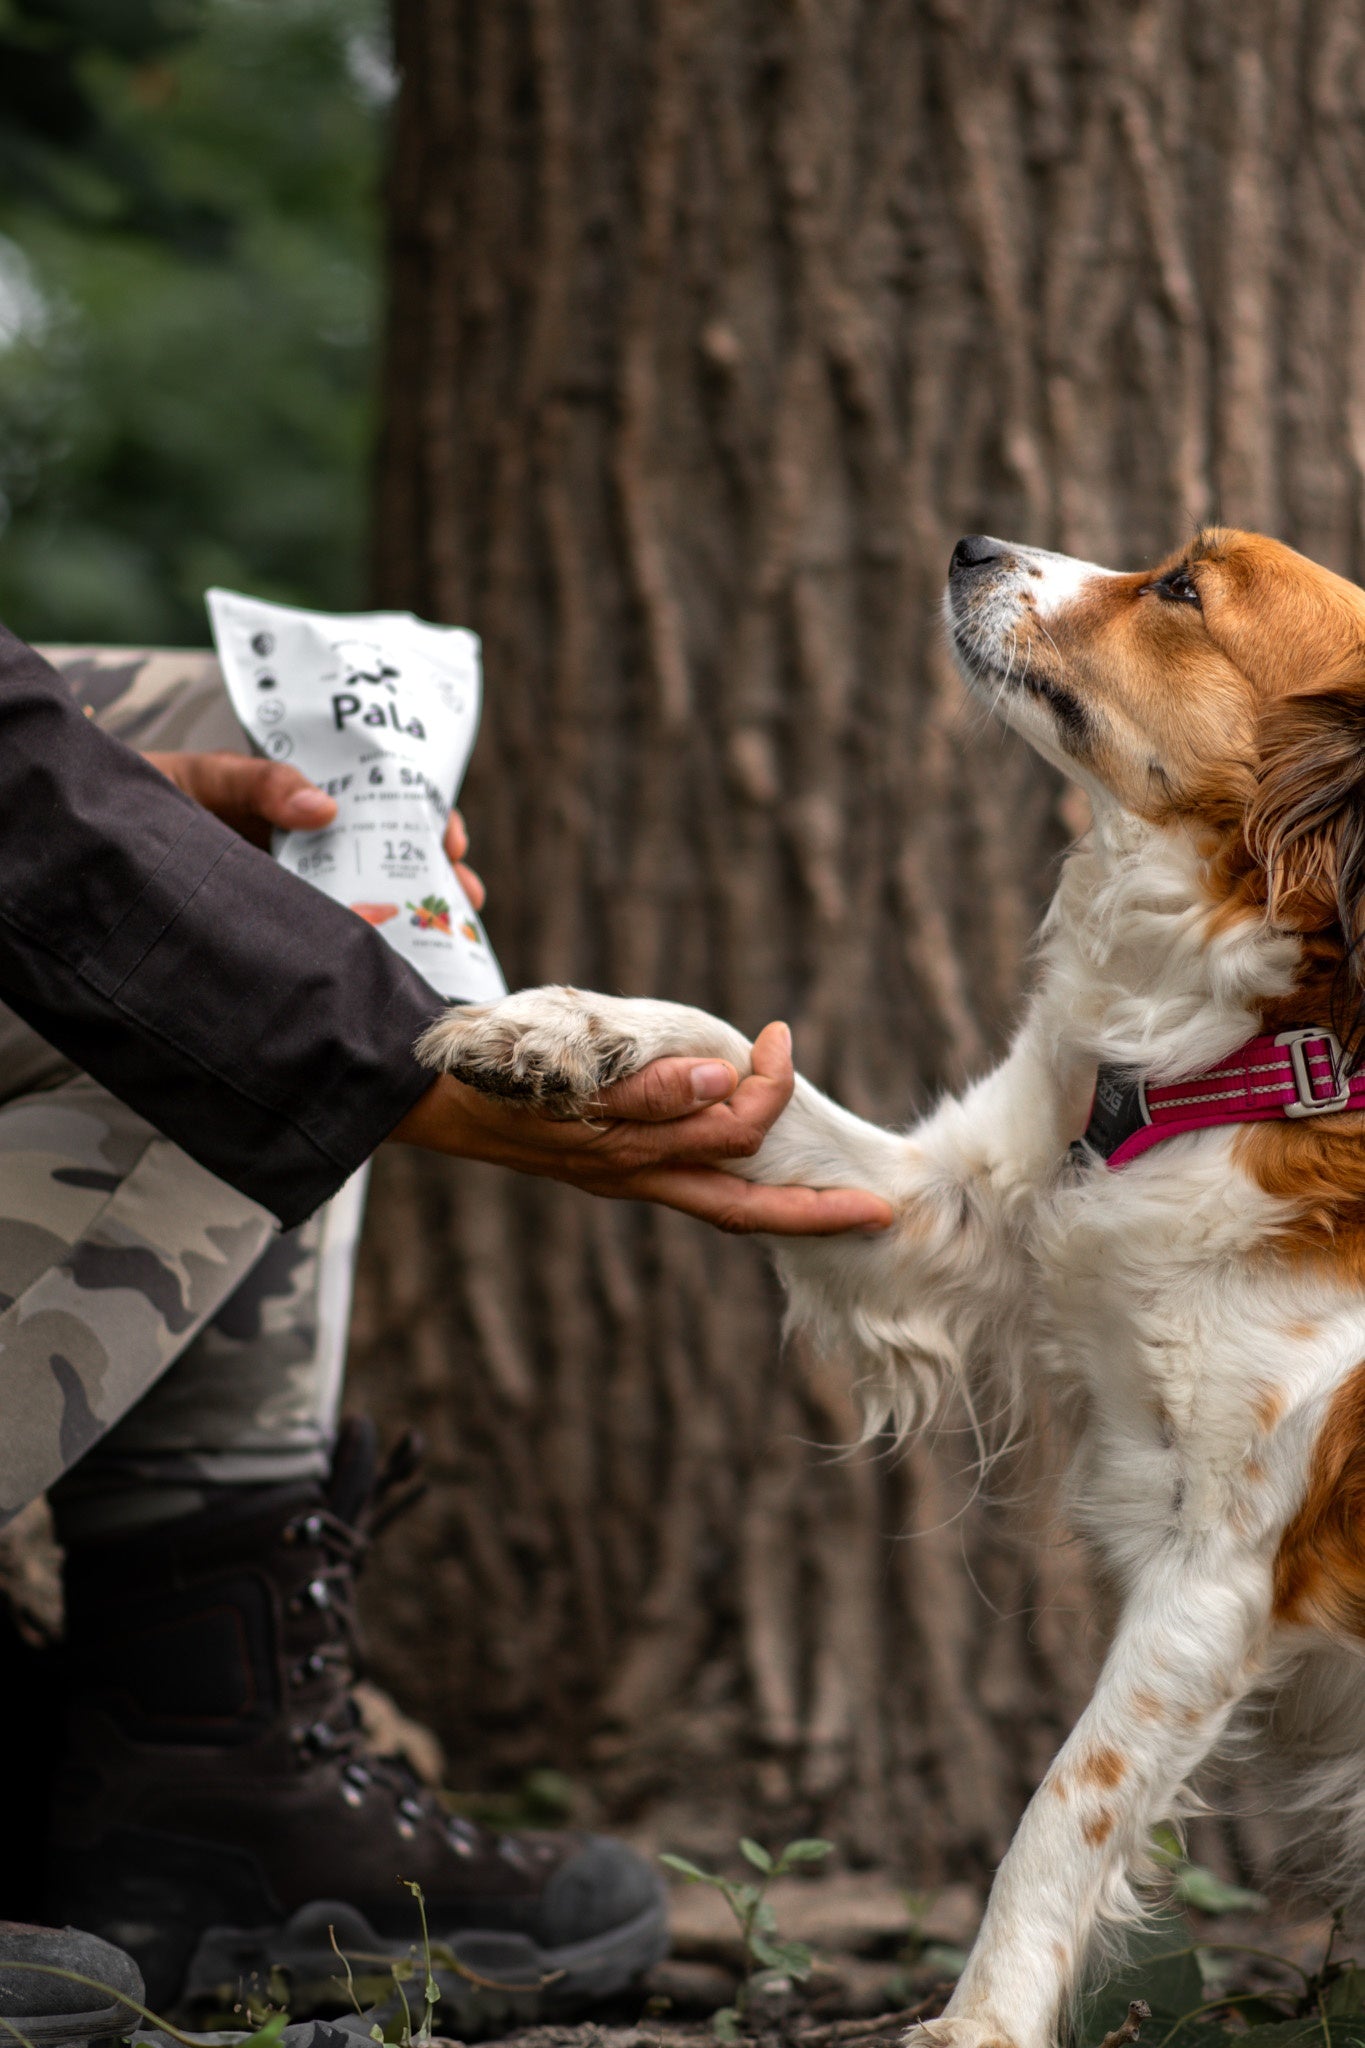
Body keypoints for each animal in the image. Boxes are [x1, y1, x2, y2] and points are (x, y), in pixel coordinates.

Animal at [417, 528, 1365, 2048]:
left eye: (1181, 589)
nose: (971, 542)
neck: (1236, 1064)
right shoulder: (947, 1206)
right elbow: (752, 1061)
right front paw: (563, 1027)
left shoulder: (1220, 1564)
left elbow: (1063, 1801)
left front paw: (979, 2020)